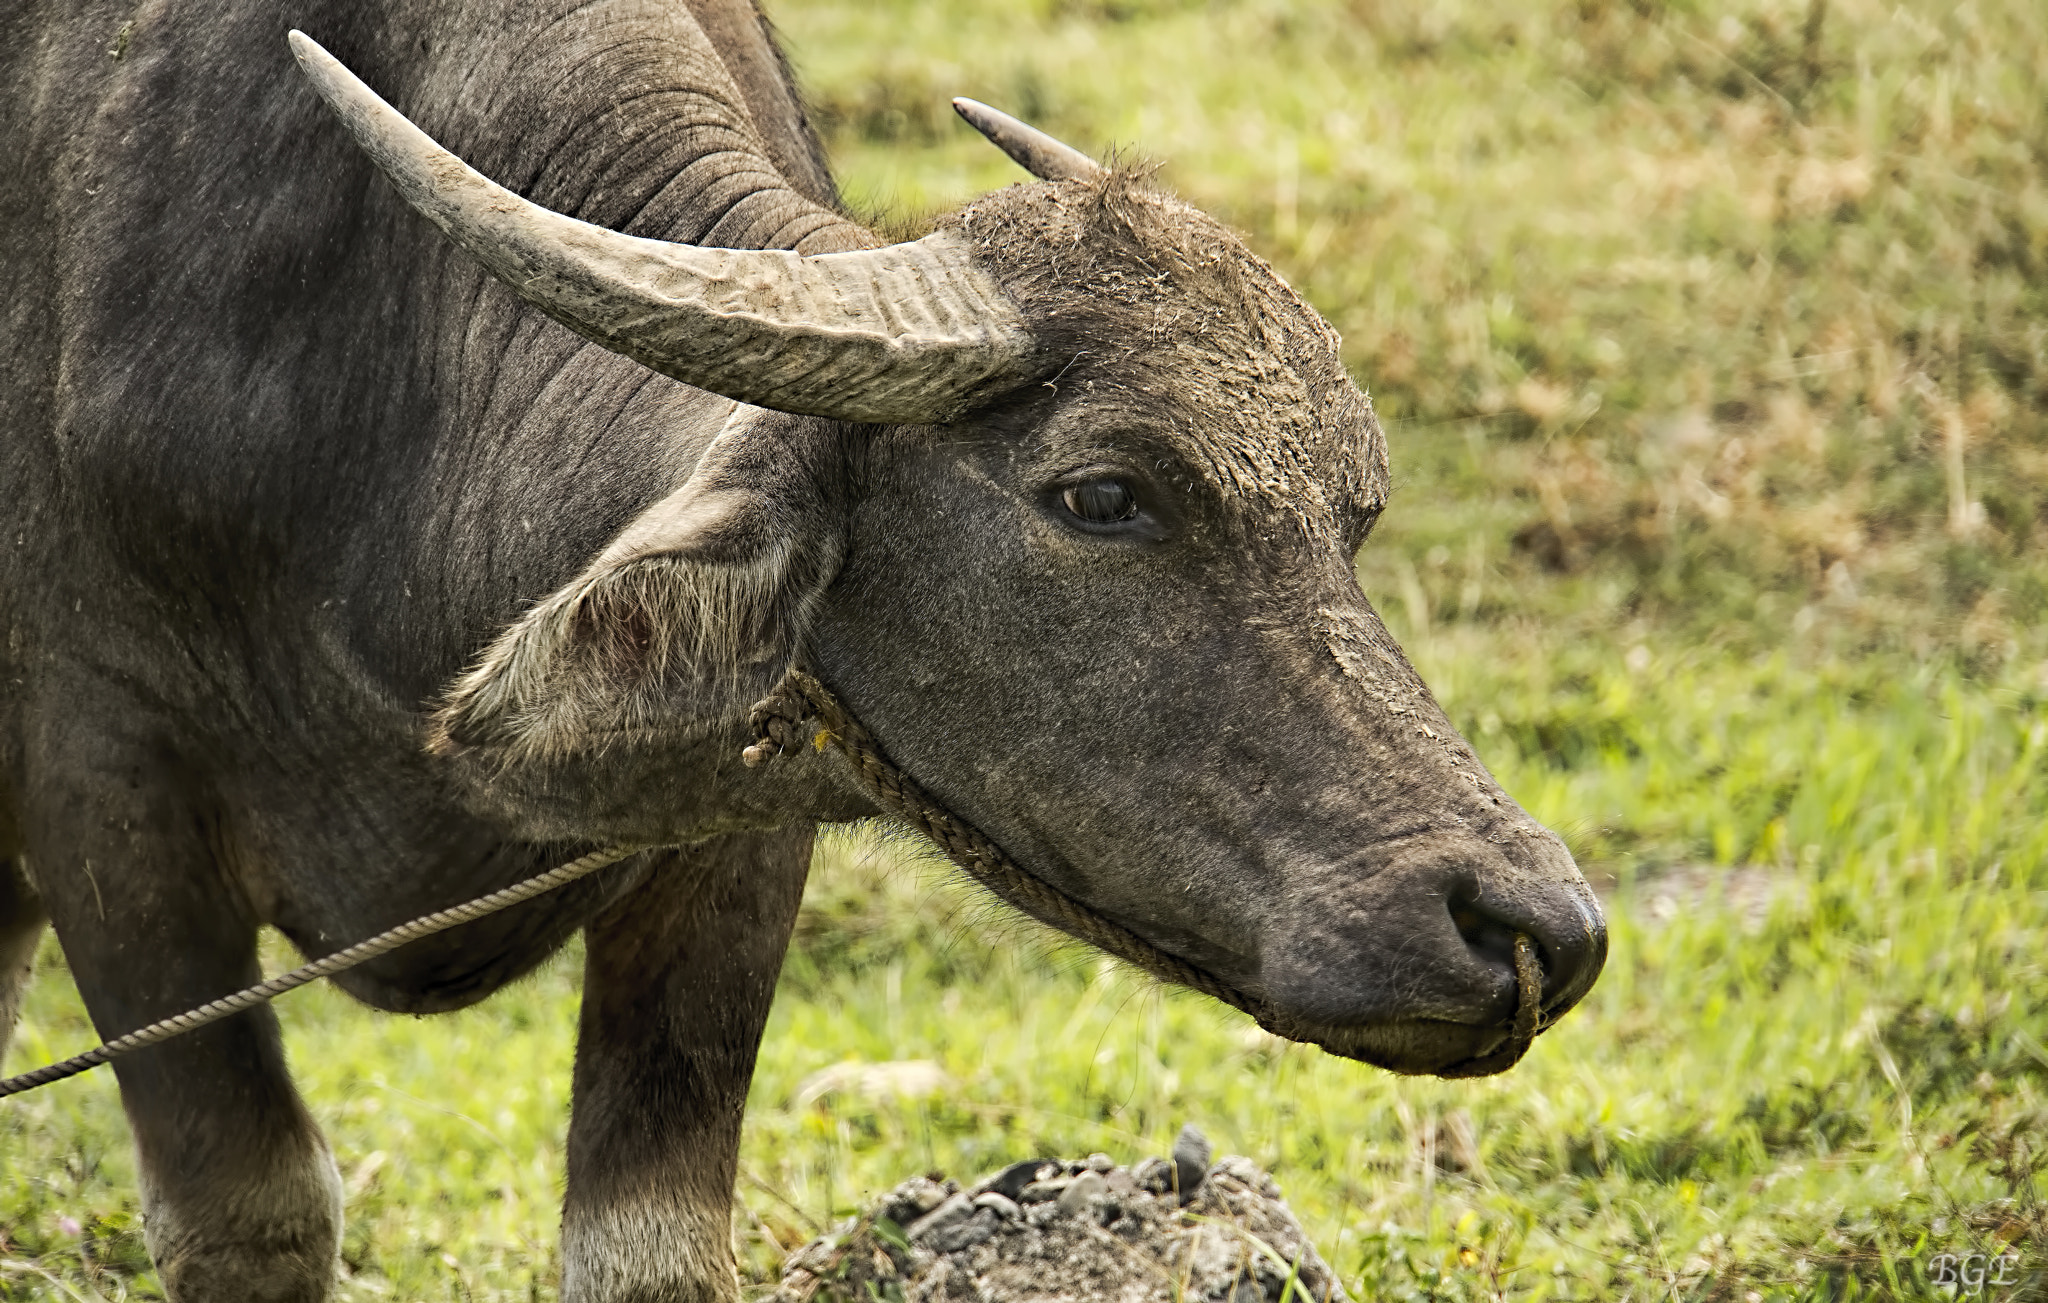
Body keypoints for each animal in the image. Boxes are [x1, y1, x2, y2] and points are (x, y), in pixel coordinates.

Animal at [0, 0, 1597, 1294]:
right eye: (1104, 493)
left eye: (1352, 512)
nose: (1535, 925)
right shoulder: (104, 796)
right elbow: (252, 1213)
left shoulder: (735, 835)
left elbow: (646, 1249)